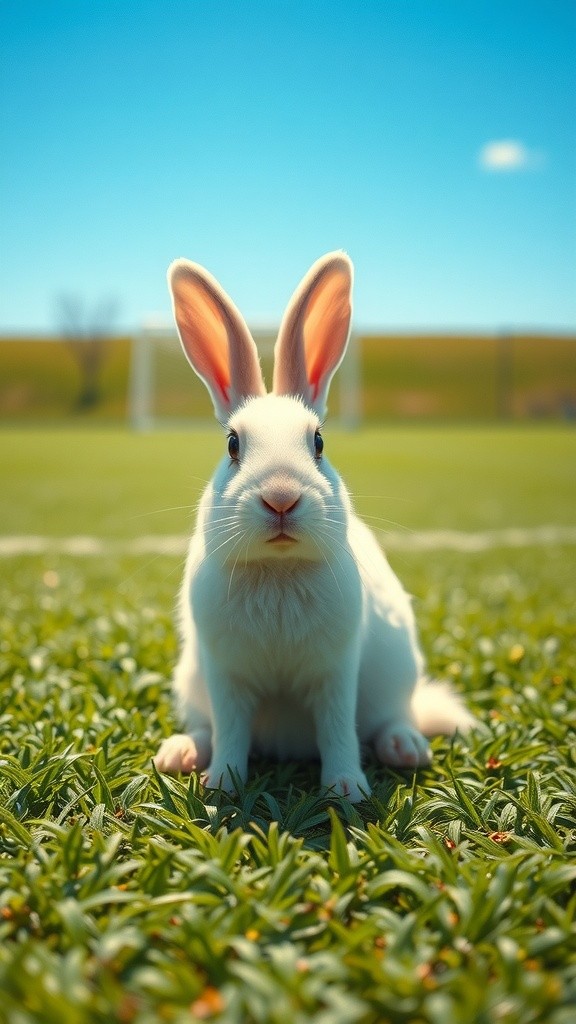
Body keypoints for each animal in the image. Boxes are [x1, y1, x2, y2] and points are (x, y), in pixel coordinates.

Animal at [154, 251, 474, 802]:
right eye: (233, 445)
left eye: (319, 442)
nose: (281, 497)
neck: (279, 571)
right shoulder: (225, 673)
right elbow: (231, 730)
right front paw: (222, 785)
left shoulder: (336, 671)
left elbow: (337, 728)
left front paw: (347, 789)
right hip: (192, 680)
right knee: (205, 726)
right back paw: (181, 752)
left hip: (395, 677)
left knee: (392, 717)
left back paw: (405, 748)